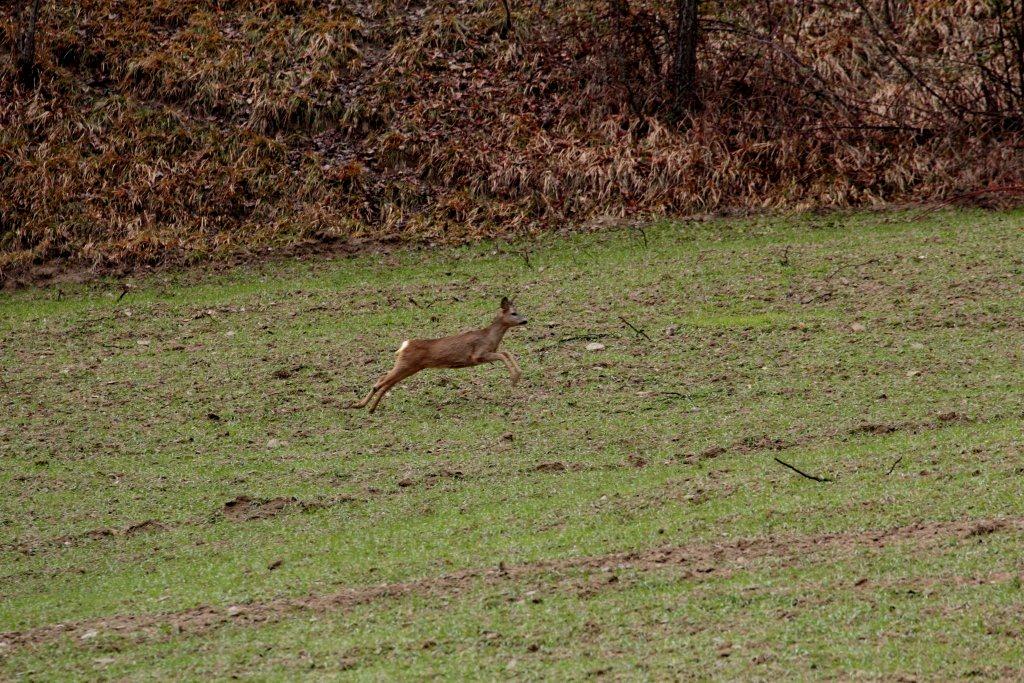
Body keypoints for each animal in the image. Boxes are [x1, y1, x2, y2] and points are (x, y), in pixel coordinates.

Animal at [350, 296, 532, 413]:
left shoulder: (487, 353)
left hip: (411, 367)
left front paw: (517, 376)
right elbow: (502, 355)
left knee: (386, 382)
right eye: (514, 313)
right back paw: (360, 406)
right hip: (406, 364)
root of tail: (405, 345)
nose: (525, 320)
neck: (490, 337)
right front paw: (514, 379)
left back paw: (368, 408)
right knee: (381, 382)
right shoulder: (477, 355)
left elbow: (506, 352)